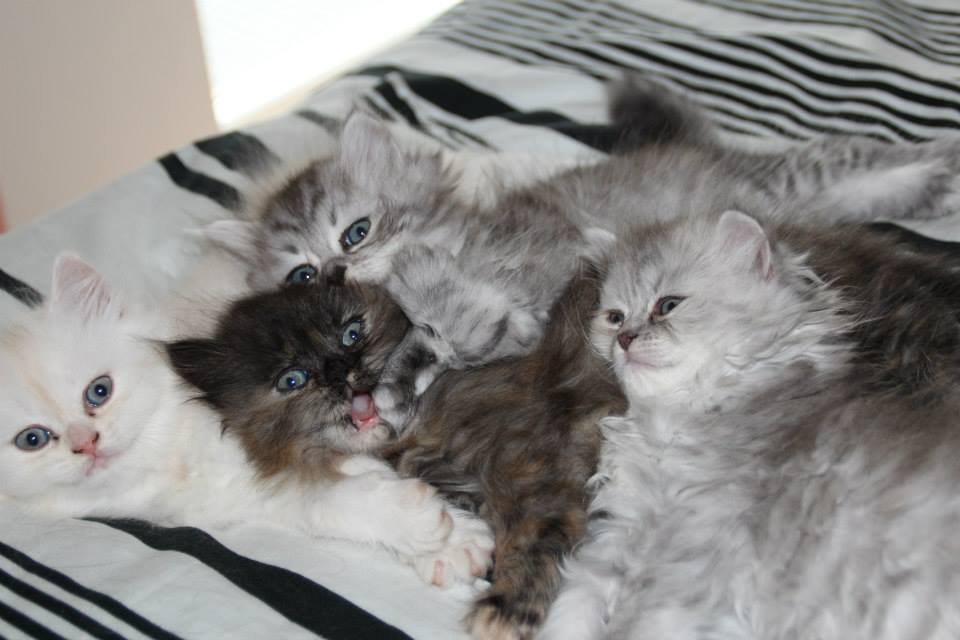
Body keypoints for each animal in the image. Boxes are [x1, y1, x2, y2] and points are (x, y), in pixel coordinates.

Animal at [0, 253, 493, 588]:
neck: (174, 452)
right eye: (33, 440)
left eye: (98, 391)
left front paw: (454, 536)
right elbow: (335, 500)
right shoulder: (263, 485)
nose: (86, 442)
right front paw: (437, 535)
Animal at [540, 210, 960, 639]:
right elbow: (581, 592)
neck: (674, 420)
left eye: (668, 305)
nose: (624, 339)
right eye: (614, 317)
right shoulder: (623, 523)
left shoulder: (699, 539)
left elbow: (640, 619)